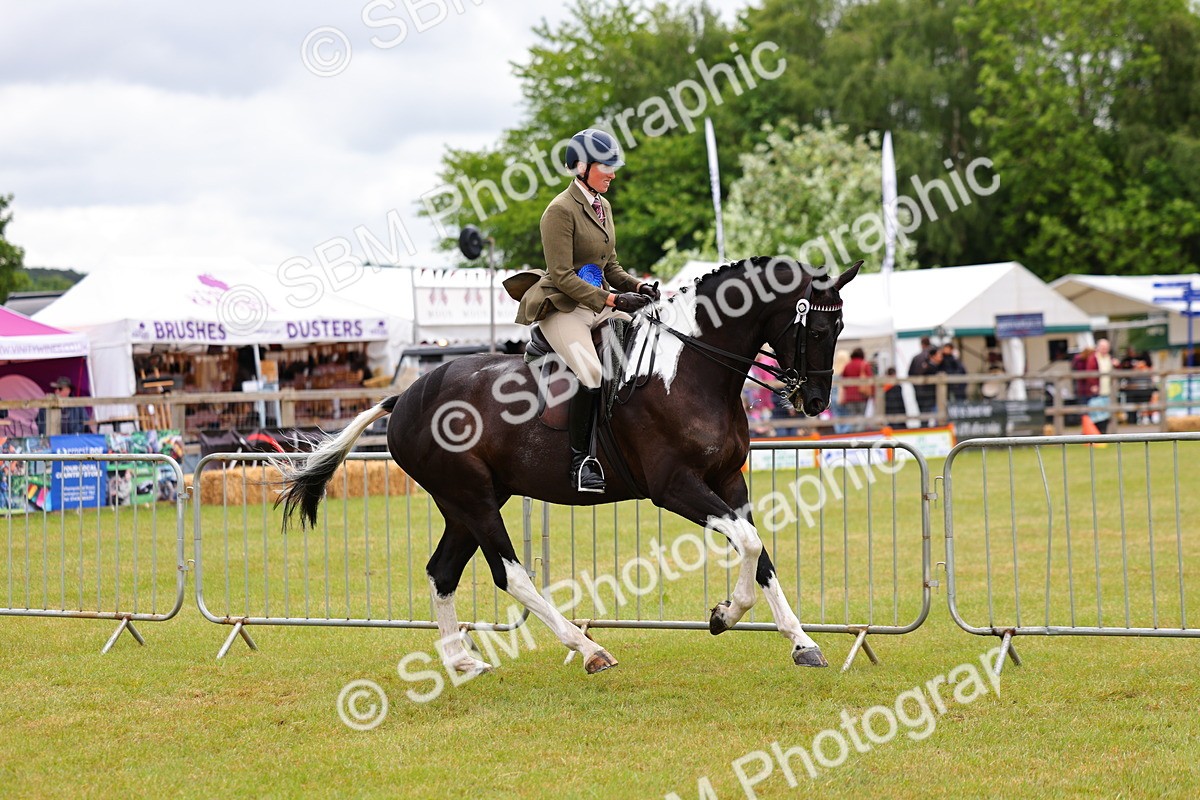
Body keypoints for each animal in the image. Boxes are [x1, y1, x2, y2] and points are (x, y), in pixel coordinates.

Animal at [276, 256, 861, 675]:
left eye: (839, 330)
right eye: (815, 331)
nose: (813, 401)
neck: (689, 368)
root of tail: (406, 396)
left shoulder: (728, 480)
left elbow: (759, 552)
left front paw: (800, 642)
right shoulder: (675, 486)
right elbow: (748, 543)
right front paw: (724, 615)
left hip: (466, 502)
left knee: (443, 571)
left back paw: (462, 661)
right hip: (472, 498)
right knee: (511, 574)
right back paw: (586, 648)